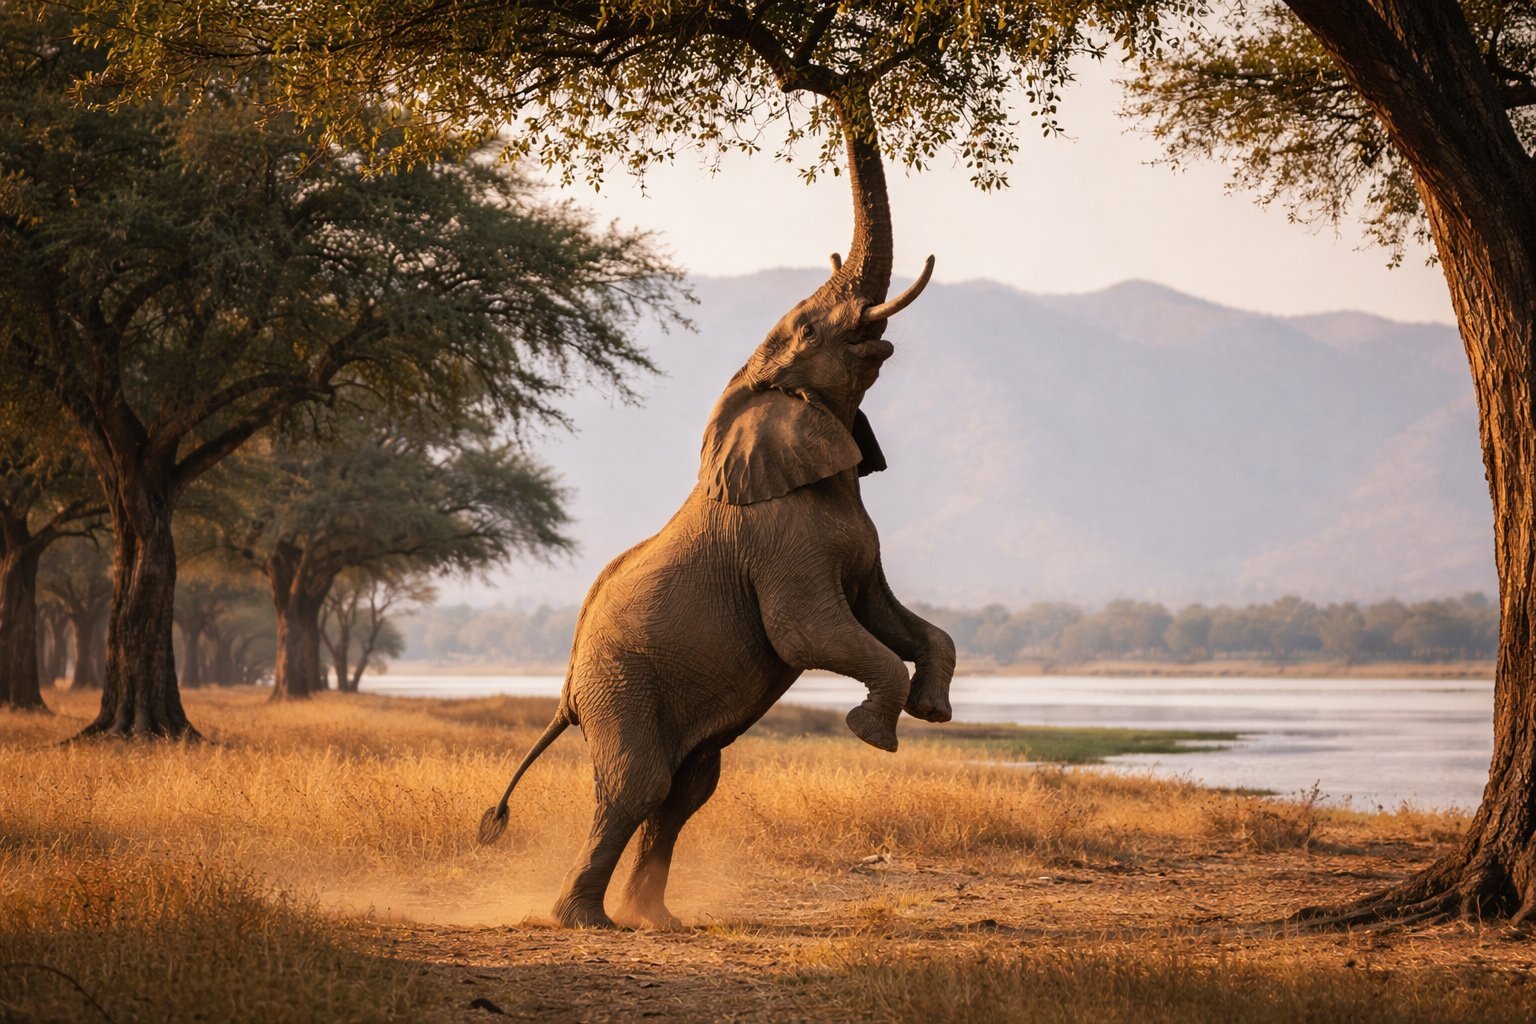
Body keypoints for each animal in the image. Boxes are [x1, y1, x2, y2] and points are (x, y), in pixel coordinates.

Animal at [478, 199, 956, 929]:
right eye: (809, 326)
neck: (754, 385)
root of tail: (565, 694)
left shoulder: (857, 545)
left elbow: (894, 619)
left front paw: (932, 711)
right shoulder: (780, 538)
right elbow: (806, 633)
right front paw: (872, 735)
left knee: (687, 786)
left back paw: (657, 920)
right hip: (619, 682)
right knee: (638, 783)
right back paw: (587, 922)